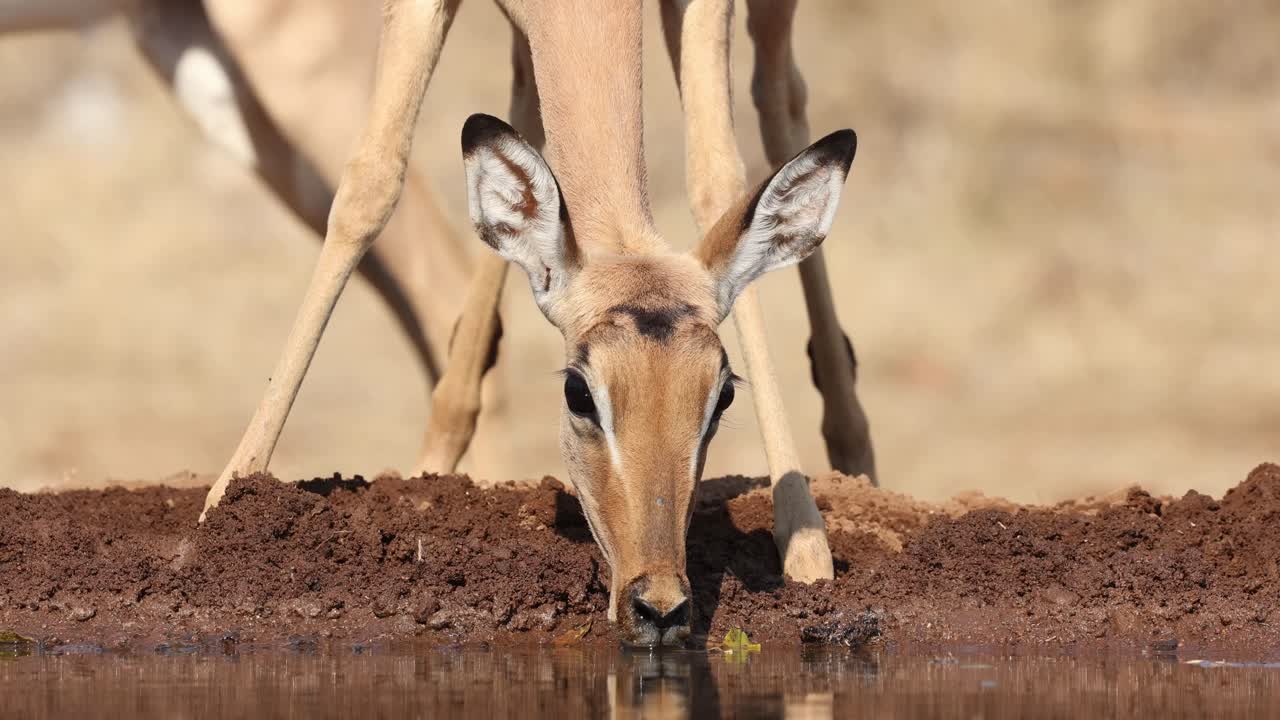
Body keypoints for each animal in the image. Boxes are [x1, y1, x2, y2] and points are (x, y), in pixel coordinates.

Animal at [7, 0, 876, 646]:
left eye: (721, 395)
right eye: (578, 391)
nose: (658, 605)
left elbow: (718, 182)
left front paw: (807, 552)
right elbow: (370, 183)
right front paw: (219, 512)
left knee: (782, 99)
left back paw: (847, 470)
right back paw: (435, 460)